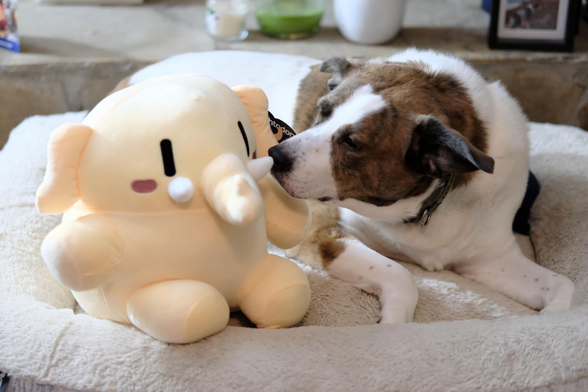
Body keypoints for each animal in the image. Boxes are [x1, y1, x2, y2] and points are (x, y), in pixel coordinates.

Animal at [270, 49, 576, 324]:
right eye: (322, 111)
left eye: (352, 143)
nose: (274, 155)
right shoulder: (321, 230)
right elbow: (401, 275)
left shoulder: (492, 258)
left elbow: (565, 286)